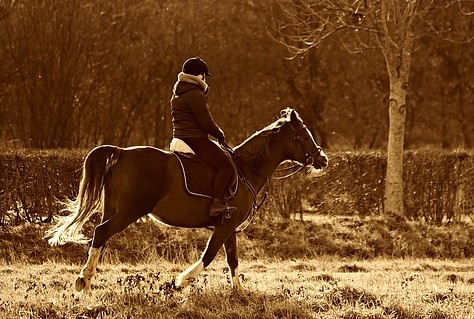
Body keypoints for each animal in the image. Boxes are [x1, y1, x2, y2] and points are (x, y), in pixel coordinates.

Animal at [46, 107, 328, 296]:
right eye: (304, 135)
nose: (323, 159)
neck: (246, 169)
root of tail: (122, 152)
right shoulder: (224, 226)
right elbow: (209, 255)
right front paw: (179, 282)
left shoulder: (229, 227)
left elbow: (232, 260)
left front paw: (239, 292)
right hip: (128, 212)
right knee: (101, 233)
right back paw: (84, 282)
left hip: (113, 209)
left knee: (100, 238)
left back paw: (86, 281)